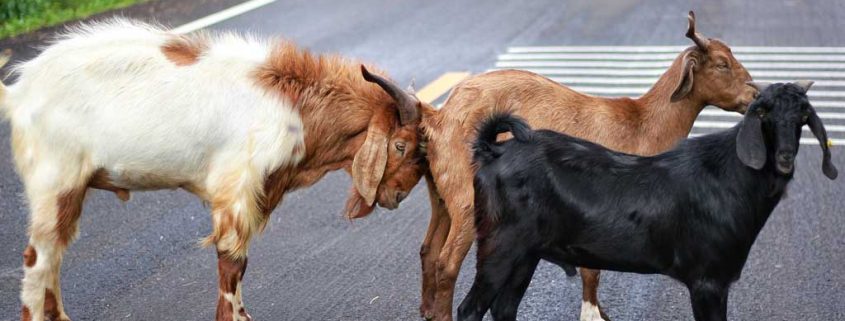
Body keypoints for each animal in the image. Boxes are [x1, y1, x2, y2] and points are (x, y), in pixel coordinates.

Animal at [1, 20, 428, 320]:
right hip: (55, 183)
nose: (398, 196)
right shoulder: (236, 188)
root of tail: (20, 93)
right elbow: (232, 261)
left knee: (54, 257)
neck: (296, 106)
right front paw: (235, 317)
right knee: (37, 259)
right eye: (401, 145)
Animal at [462, 80, 836, 320]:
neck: (731, 176)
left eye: (804, 116)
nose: (785, 158)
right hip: (500, 243)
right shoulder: (708, 281)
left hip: (527, 252)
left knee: (504, 308)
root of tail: (493, 150)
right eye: (764, 114)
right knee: (471, 309)